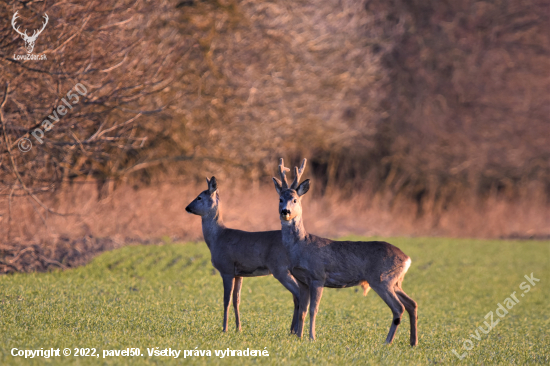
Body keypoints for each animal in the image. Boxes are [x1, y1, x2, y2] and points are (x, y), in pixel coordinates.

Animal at [188, 177, 304, 334]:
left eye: (199, 197)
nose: (187, 207)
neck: (217, 238)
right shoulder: (239, 274)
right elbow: (236, 300)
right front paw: (238, 328)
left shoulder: (226, 269)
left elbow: (226, 300)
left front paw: (224, 329)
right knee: (297, 295)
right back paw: (292, 330)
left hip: (280, 269)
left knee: (298, 293)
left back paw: (295, 331)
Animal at [274, 158, 420, 346]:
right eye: (280, 199)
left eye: (294, 200)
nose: (285, 211)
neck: (301, 247)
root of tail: (407, 259)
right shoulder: (302, 280)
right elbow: (303, 310)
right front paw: (299, 337)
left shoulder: (318, 276)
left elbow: (314, 309)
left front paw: (312, 338)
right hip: (395, 281)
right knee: (412, 303)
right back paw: (413, 342)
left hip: (382, 279)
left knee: (398, 307)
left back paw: (387, 342)